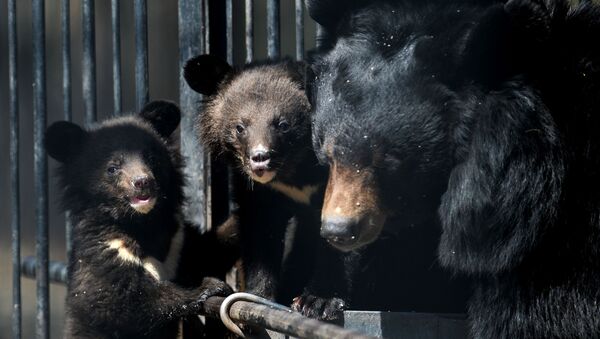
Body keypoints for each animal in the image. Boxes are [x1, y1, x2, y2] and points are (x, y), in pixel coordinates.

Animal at [45, 101, 233, 339]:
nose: (143, 182)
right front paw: (210, 287)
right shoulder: (104, 251)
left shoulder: (179, 242)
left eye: (151, 158)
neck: (143, 223)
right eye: (112, 168)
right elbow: (121, 301)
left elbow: (209, 250)